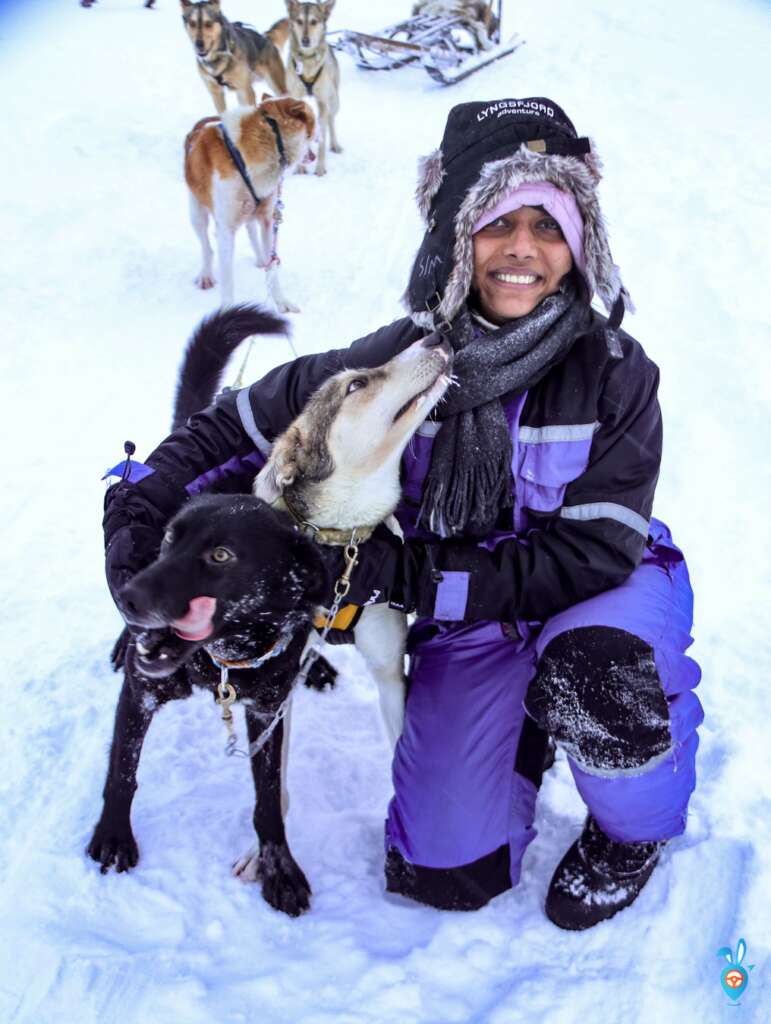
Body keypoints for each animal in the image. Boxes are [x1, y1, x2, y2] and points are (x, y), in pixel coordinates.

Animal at [182, 96, 313, 311]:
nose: (312, 156)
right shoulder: (225, 230)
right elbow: (228, 280)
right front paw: (227, 313)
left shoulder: (269, 221)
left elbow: (272, 268)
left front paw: (281, 302)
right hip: (197, 213)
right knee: (207, 248)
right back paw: (206, 275)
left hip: (252, 212)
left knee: (252, 231)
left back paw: (260, 259)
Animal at [284, 1, 341, 176]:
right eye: (299, 21)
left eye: (314, 22)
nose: (305, 40)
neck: (308, 61)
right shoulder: (295, 98)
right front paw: (300, 167)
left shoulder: (323, 101)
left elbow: (323, 138)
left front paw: (320, 168)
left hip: (334, 101)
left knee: (331, 120)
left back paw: (335, 144)